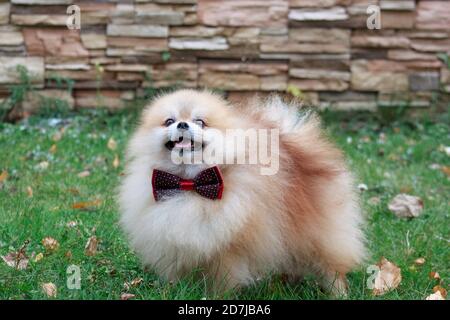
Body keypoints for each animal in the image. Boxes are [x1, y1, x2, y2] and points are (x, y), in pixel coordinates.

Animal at [118, 89, 366, 296]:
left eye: (200, 122)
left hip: (320, 234)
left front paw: (217, 296)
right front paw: (174, 291)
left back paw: (338, 293)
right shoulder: (174, 242)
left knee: (331, 267)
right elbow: (177, 273)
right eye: (169, 121)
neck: (188, 183)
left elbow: (223, 280)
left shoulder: (226, 249)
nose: (182, 124)